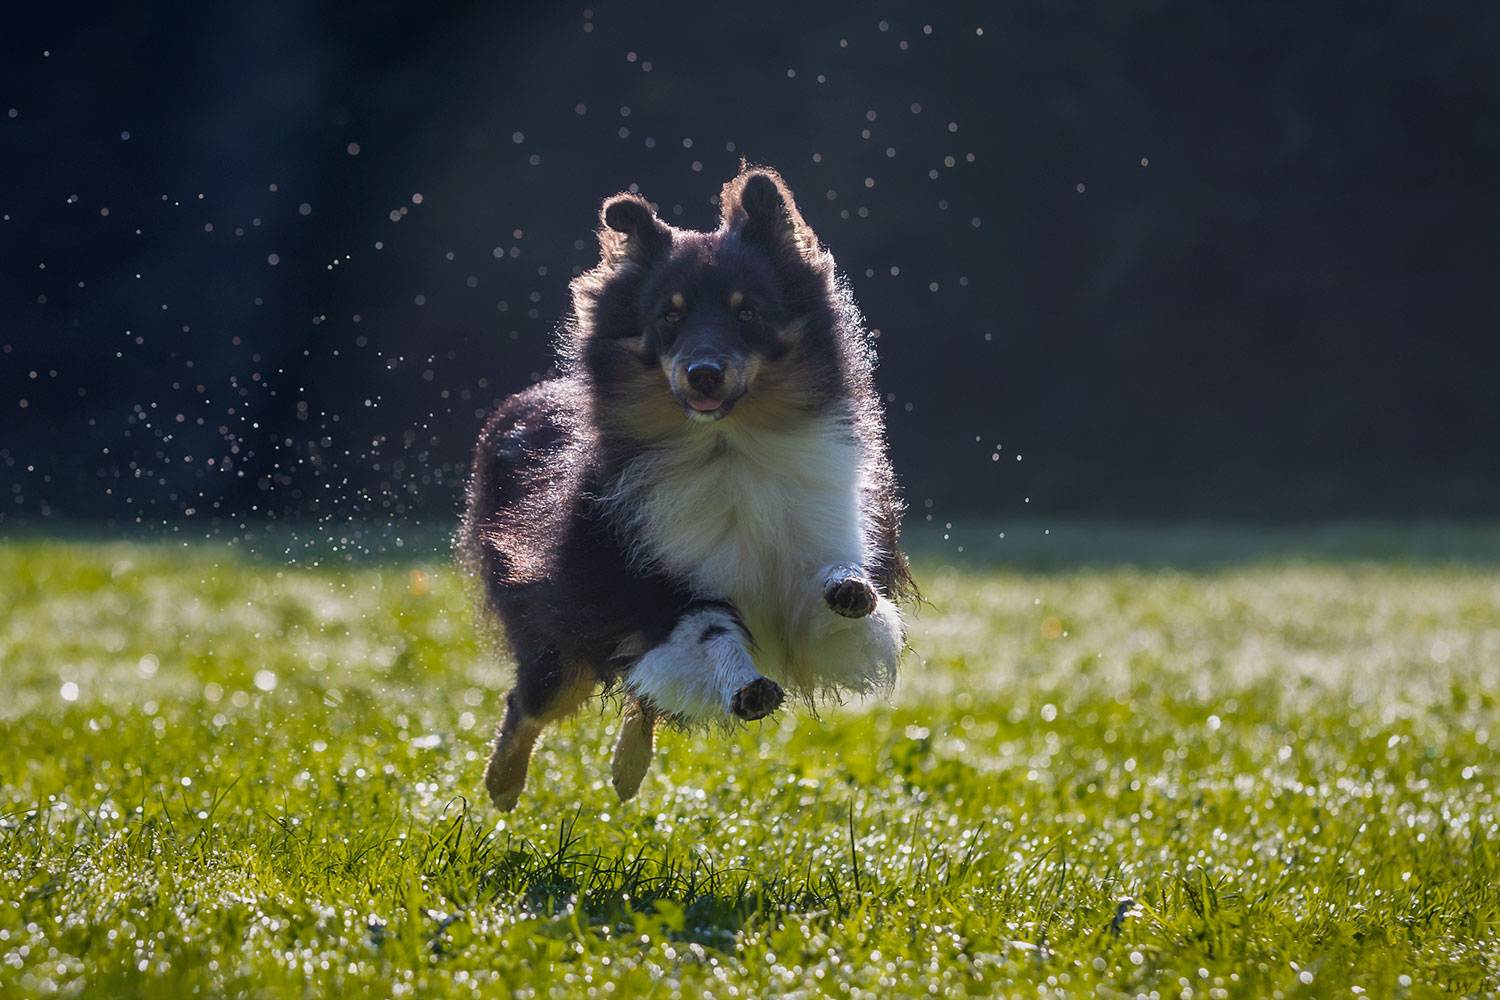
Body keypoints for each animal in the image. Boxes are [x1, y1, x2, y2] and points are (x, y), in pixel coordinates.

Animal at [459, 167, 912, 809]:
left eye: (748, 313)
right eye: (669, 317)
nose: (703, 374)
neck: (728, 448)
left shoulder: (818, 546)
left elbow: (835, 586)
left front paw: (847, 588)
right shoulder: (652, 584)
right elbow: (711, 630)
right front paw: (748, 687)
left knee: (643, 693)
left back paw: (625, 772)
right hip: (566, 632)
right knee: (530, 701)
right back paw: (503, 787)